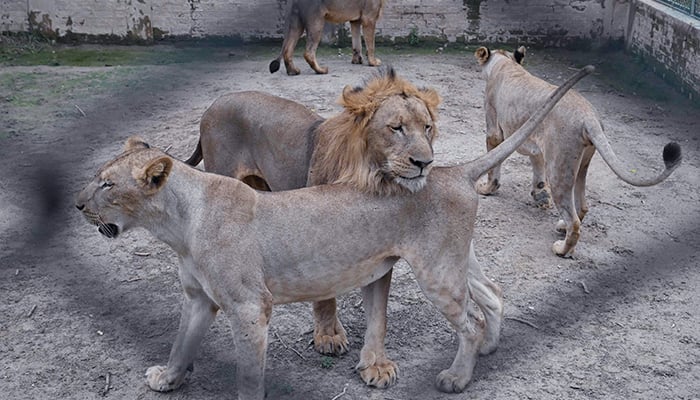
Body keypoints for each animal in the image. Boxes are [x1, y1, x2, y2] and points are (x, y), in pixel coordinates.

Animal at [75, 68, 592, 396]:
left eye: (107, 184)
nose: (78, 204)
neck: (178, 224)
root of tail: (451, 170)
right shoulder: (199, 299)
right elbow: (180, 343)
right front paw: (167, 379)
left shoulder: (250, 309)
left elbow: (249, 378)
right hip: (455, 259)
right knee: (493, 294)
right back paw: (490, 349)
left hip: (436, 273)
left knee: (470, 320)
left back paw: (457, 377)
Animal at [474, 47, 680, 258]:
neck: (505, 64)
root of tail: (589, 117)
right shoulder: (535, 142)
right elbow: (536, 166)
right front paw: (540, 194)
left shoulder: (494, 131)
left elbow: (493, 166)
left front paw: (487, 189)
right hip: (581, 163)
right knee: (582, 206)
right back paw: (562, 227)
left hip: (558, 168)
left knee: (574, 220)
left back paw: (562, 248)